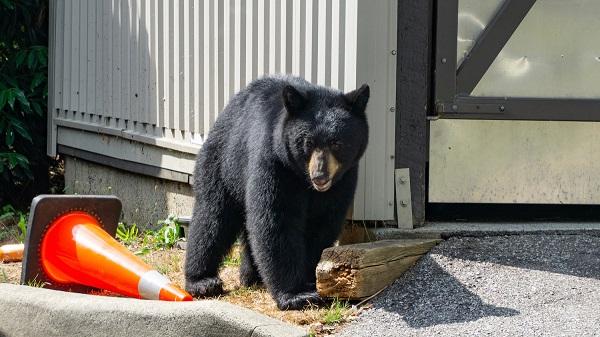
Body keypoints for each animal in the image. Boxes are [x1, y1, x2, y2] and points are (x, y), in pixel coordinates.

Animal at [185, 74, 368, 310]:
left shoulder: (343, 179)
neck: (304, 180)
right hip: (222, 164)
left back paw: (252, 275)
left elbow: (323, 223)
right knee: (212, 218)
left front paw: (312, 278)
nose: (320, 176)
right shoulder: (275, 164)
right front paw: (296, 294)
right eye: (308, 142)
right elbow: (276, 220)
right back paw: (202, 281)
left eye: (336, 143)